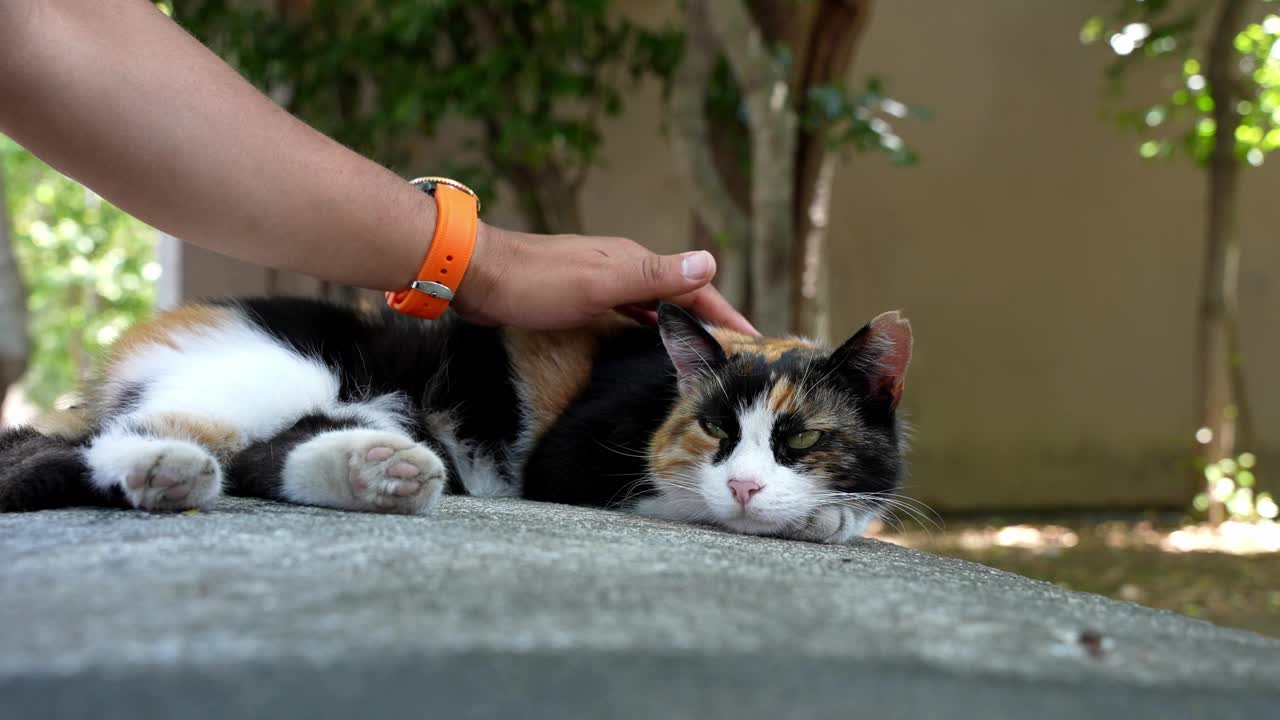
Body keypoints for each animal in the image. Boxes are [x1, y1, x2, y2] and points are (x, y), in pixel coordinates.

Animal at [0, 294, 911, 540]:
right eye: (716, 430)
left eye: (802, 437)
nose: (751, 485)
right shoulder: (572, 456)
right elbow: (686, 496)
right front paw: (812, 518)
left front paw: (829, 511)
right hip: (269, 370)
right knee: (75, 443)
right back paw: (162, 470)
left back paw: (381, 471)